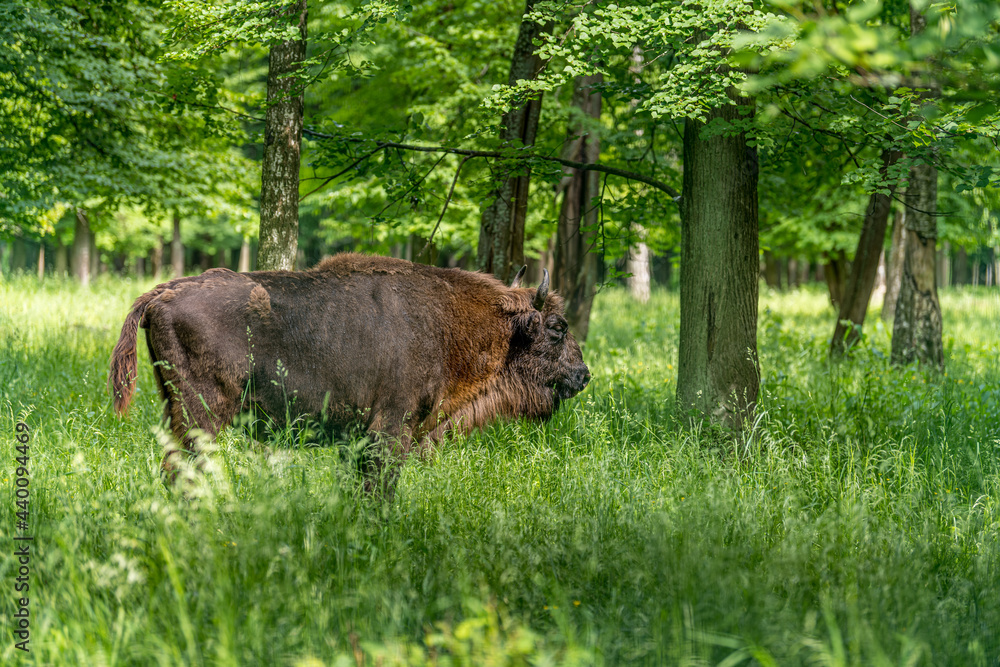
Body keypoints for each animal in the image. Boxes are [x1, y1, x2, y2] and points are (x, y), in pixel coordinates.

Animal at [109, 253, 590, 489]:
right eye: (557, 328)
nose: (583, 375)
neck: (447, 321)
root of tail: (163, 292)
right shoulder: (391, 429)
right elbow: (381, 488)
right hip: (202, 413)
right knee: (182, 467)